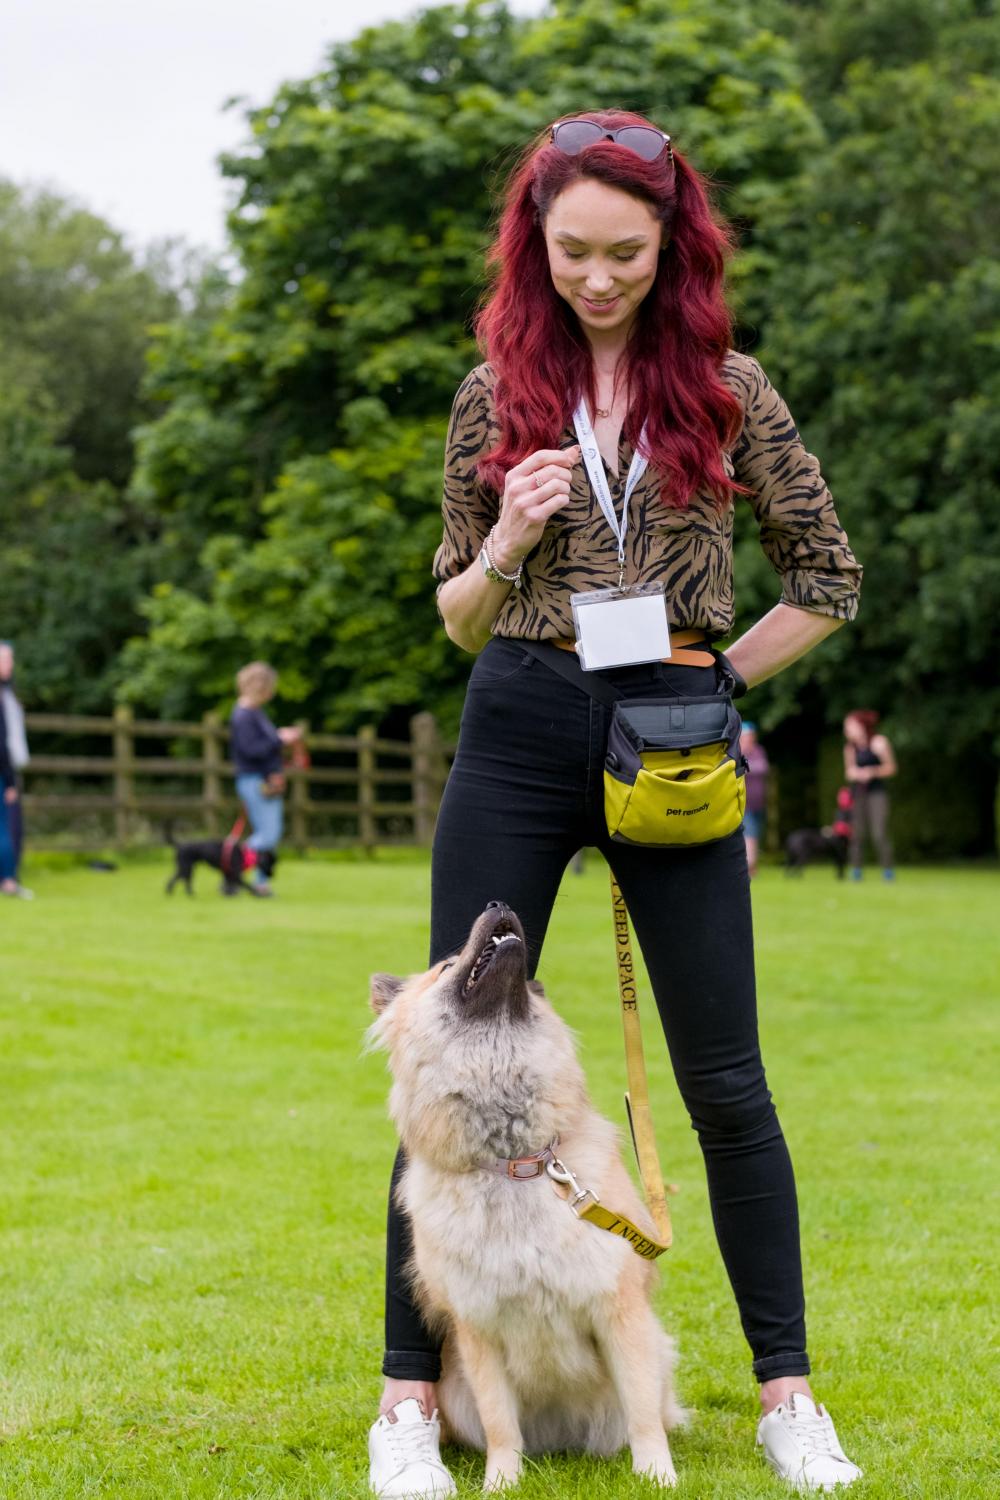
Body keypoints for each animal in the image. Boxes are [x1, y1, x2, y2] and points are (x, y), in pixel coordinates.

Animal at [371, 900, 683, 1488]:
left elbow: (641, 1413)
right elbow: (500, 1424)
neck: (515, 1162)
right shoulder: (478, 1333)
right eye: (446, 966)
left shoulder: (620, 1315)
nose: (497, 903)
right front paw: (502, 1481)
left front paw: (657, 1476)